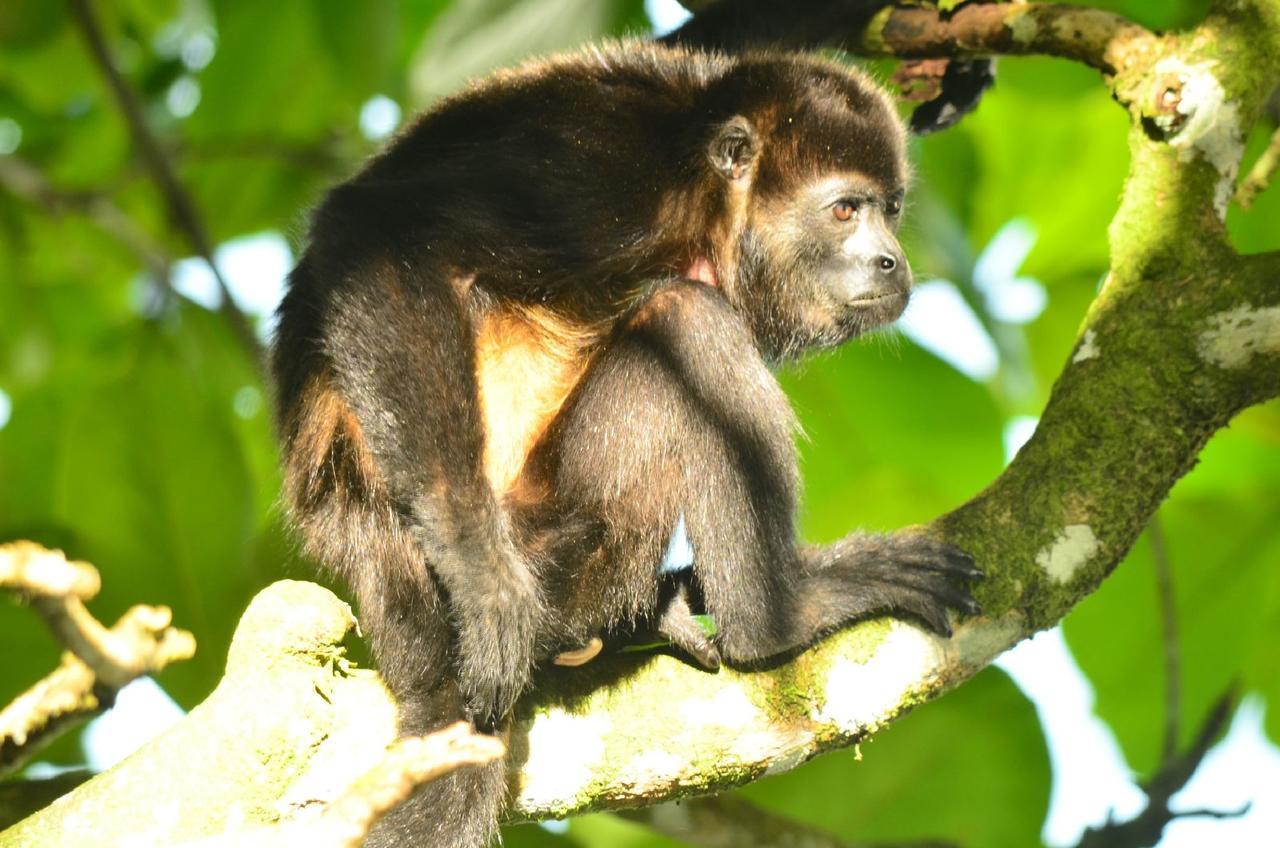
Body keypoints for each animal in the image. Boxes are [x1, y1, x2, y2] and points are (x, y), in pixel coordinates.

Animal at [277, 3, 977, 845]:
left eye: (892, 210)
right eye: (846, 209)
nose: (891, 262)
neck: (707, 198)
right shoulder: (595, 179)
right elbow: (374, 225)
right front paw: (484, 584)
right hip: (560, 535)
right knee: (689, 322)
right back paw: (778, 615)